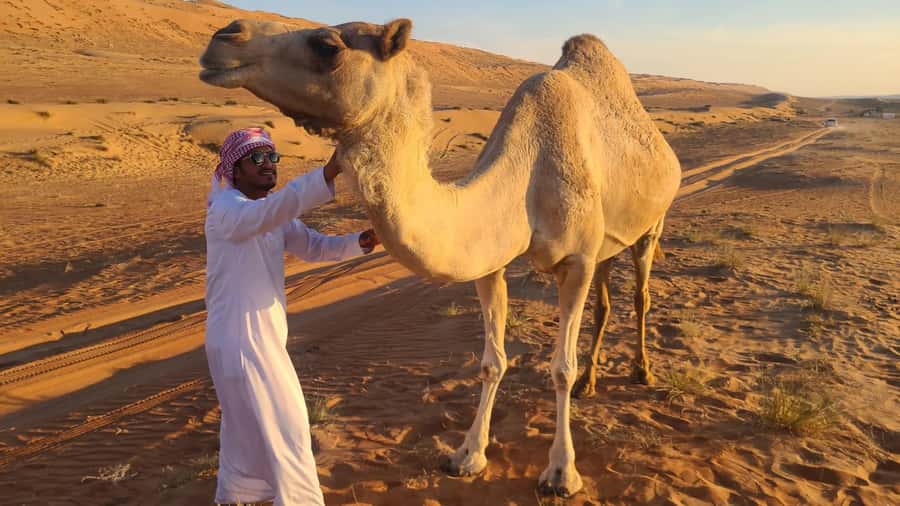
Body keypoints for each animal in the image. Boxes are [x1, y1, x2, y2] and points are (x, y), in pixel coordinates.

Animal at [199, 18, 681, 497]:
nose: (225, 36)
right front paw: (468, 454)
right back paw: (590, 383)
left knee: (640, 295)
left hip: (651, 225)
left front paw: (562, 471)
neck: (526, 173)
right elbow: (491, 362)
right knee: (604, 302)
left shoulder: (577, 260)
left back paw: (641, 372)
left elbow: (560, 367)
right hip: (608, 245)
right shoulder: (490, 261)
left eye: (328, 45)